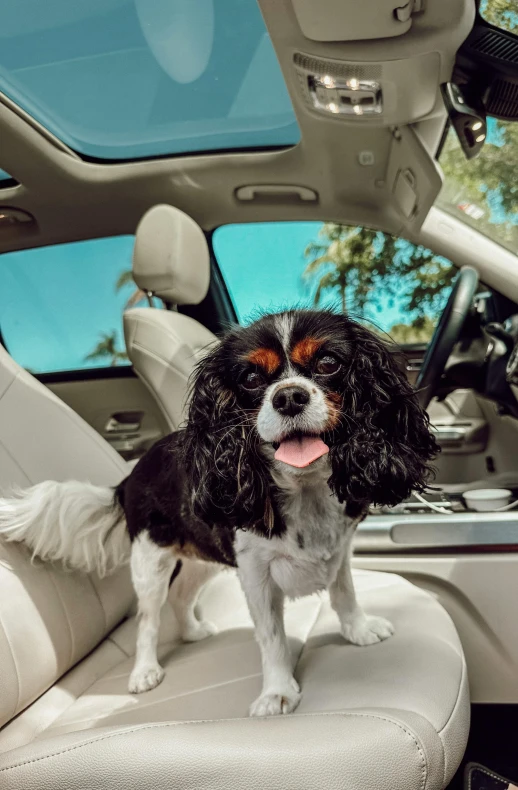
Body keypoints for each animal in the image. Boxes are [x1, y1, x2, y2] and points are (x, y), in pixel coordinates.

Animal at [0, 310, 438, 716]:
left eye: (328, 362)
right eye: (251, 377)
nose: (289, 396)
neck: (304, 488)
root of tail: (129, 476)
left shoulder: (338, 549)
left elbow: (344, 592)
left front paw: (358, 630)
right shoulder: (255, 574)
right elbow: (272, 637)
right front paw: (278, 691)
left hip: (203, 554)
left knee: (181, 595)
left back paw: (192, 632)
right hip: (151, 563)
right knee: (148, 619)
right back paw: (144, 671)